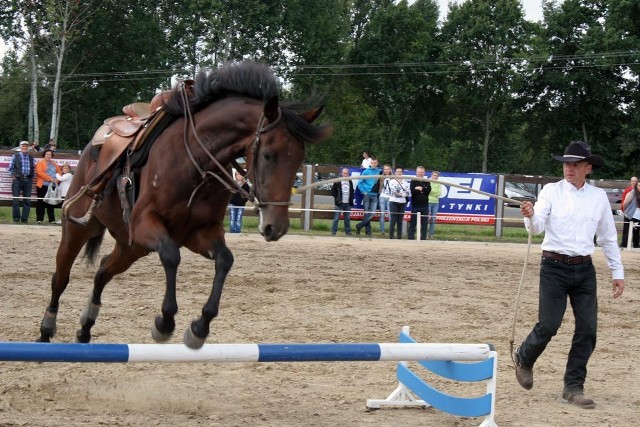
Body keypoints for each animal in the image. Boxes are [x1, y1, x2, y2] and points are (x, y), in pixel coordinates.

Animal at [36, 61, 330, 350]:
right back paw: (46, 329)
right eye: (268, 155)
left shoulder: (199, 232)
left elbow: (225, 259)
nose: (275, 227)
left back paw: (86, 327)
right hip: (79, 228)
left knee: (103, 271)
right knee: (60, 277)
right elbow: (171, 255)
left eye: (299, 159)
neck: (196, 162)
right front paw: (164, 323)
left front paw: (200, 327)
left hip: (132, 247)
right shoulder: (145, 223)